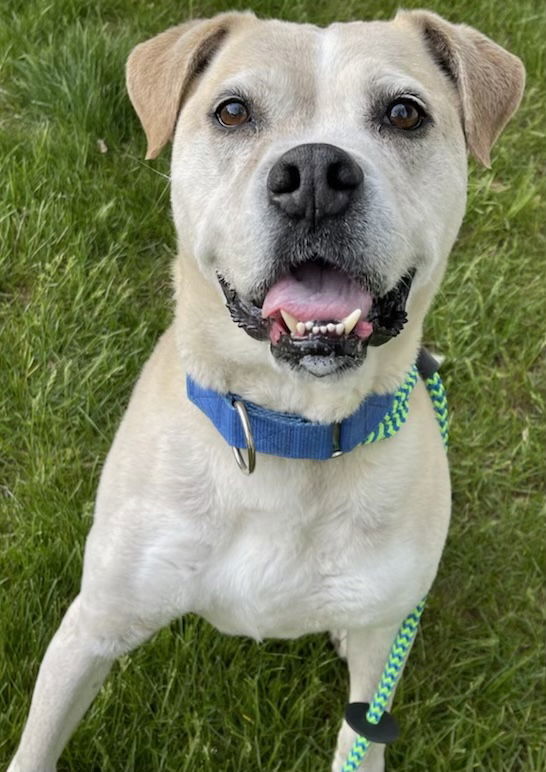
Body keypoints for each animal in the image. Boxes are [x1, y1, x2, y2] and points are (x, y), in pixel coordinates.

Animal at [6, 7, 520, 772]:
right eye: (233, 111)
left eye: (404, 113)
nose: (314, 176)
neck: (288, 431)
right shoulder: (90, 627)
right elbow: (37, 744)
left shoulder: (377, 672)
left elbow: (359, 736)